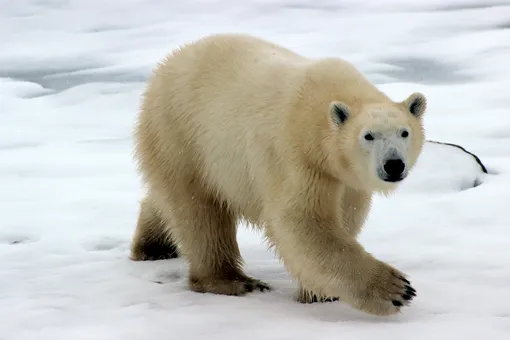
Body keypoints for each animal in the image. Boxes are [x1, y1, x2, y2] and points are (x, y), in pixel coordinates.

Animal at [129, 33, 424, 314]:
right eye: (368, 136)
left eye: (404, 132)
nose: (394, 164)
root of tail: (166, 65)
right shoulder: (297, 156)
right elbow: (300, 222)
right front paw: (396, 290)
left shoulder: (345, 179)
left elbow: (346, 216)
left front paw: (318, 292)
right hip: (181, 134)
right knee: (199, 212)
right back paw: (232, 281)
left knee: (169, 200)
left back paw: (154, 246)